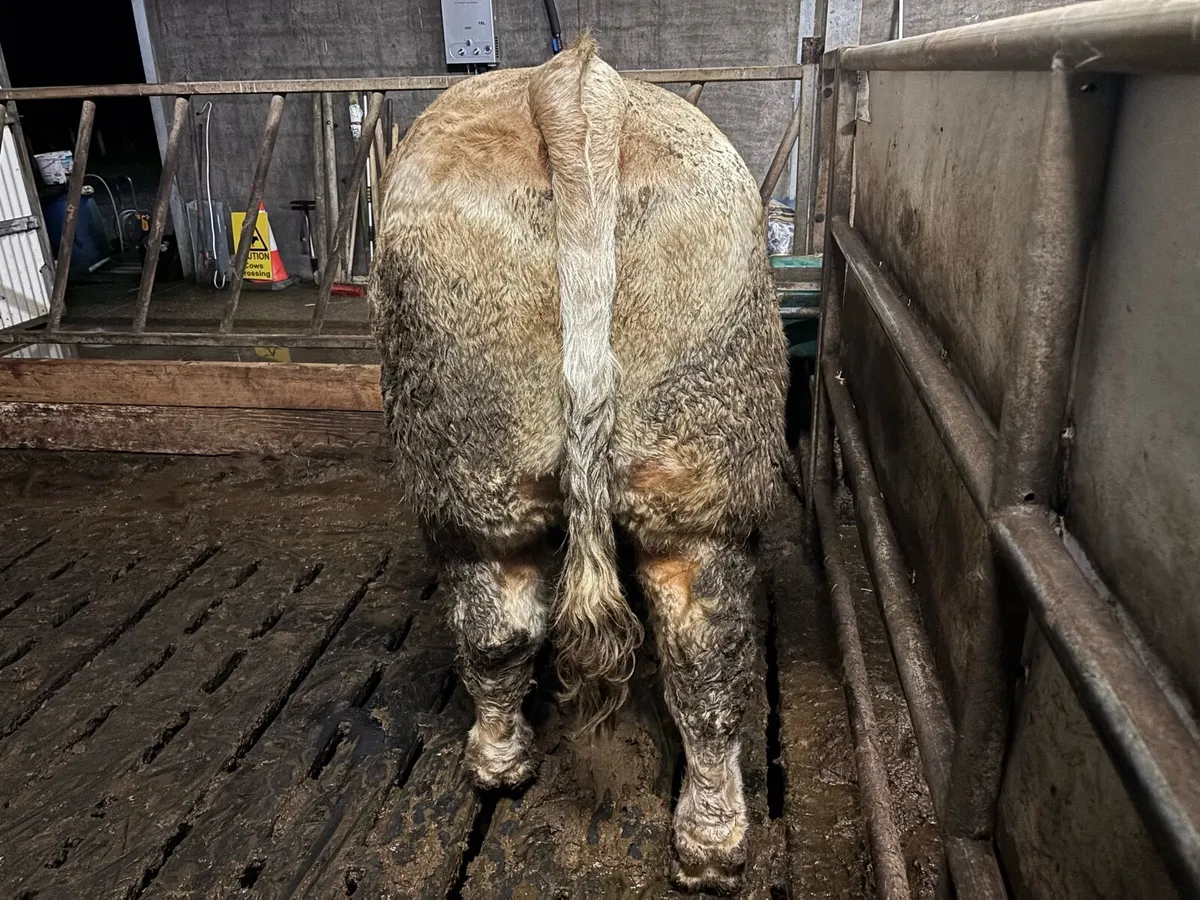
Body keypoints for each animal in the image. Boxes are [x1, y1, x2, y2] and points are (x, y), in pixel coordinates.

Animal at [369, 37, 787, 893]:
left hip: (473, 470)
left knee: (498, 618)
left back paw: (497, 761)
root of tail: (575, 86)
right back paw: (710, 843)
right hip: (690, 465)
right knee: (704, 655)